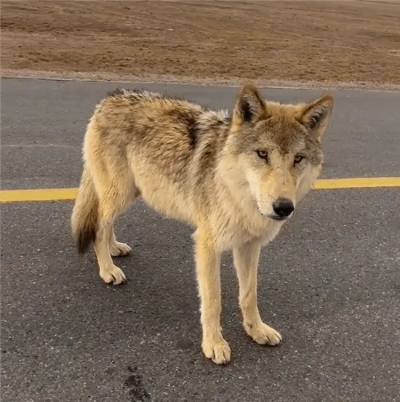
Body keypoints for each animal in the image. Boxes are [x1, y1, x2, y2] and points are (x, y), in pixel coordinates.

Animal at [71, 84, 334, 364]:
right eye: (262, 154)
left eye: (298, 158)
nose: (283, 207)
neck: (237, 193)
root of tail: (110, 97)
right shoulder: (207, 245)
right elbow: (212, 300)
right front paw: (214, 344)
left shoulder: (249, 247)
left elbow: (249, 295)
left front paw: (256, 331)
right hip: (119, 193)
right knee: (99, 226)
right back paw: (108, 269)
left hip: (131, 193)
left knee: (106, 222)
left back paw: (114, 249)